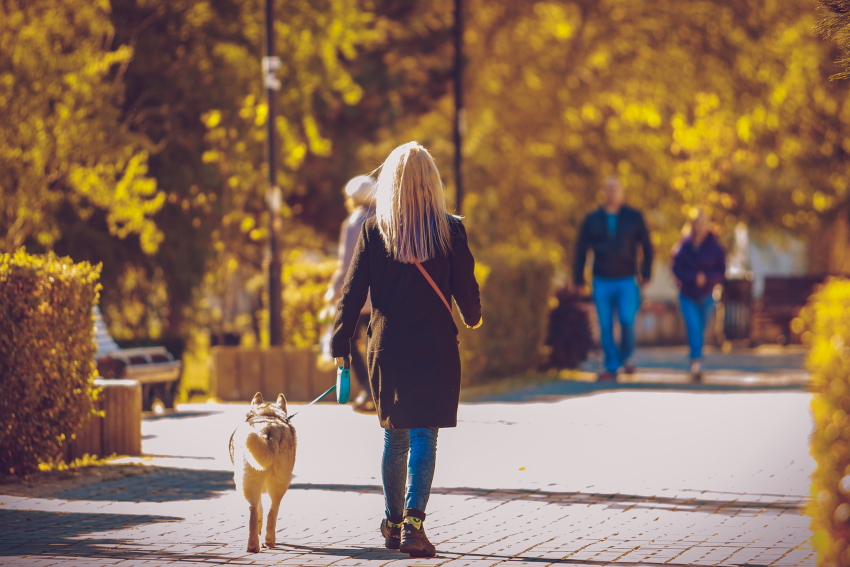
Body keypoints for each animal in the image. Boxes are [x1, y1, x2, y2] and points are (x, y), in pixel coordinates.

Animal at [230, 392, 296, 552]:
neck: (268, 414)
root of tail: (267, 429)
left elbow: (260, 507)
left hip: (247, 483)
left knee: (257, 510)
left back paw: (257, 544)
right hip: (275, 483)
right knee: (269, 511)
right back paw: (263, 543)